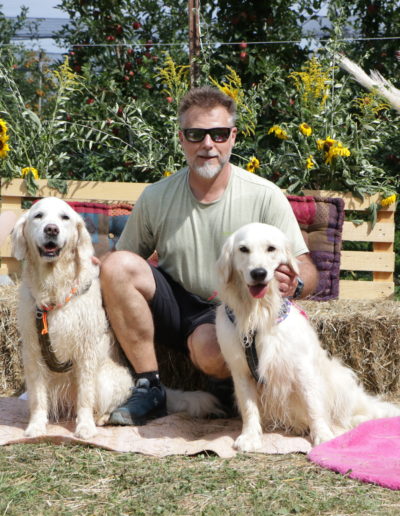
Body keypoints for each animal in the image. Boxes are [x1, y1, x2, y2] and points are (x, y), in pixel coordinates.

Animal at [11, 197, 222, 440]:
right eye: (38, 216)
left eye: (64, 217)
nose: (51, 229)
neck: (54, 287)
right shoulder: (33, 350)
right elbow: (38, 397)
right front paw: (36, 426)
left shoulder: (86, 351)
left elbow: (85, 396)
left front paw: (84, 427)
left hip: (105, 380)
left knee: (104, 402)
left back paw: (102, 418)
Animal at [215, 222, 400, 452]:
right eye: (243, 249)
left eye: (271, 248)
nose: (258, 273)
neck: (259, 314)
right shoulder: (240, 370)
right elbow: (249, 407)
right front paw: (250, 437)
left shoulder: (302, 368)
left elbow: (313, 405)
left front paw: (322, 435)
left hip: (340, 378)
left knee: (357, 412)